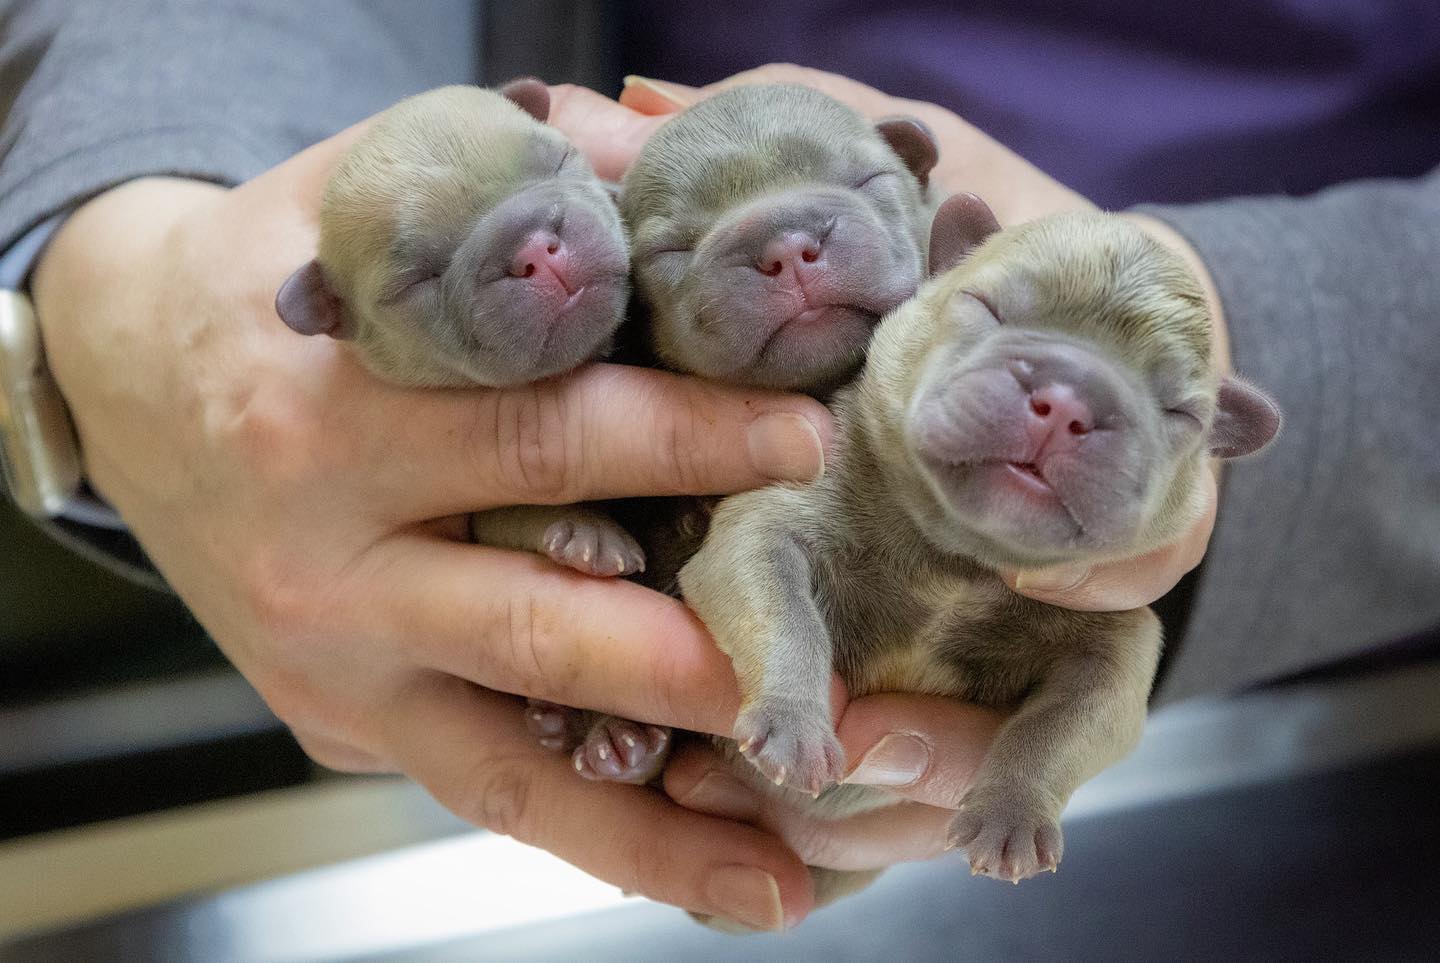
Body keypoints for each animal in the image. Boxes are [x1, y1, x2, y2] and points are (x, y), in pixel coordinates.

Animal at [676, 197, 1284, 909]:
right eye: (986, 307)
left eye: (1180, 413)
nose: (1068, 399)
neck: (957, 562)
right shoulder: (774, 521)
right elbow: (781, 607)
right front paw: (794, 721)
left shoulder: (1118, 649)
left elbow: (1063, 727)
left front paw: (1011, 814)